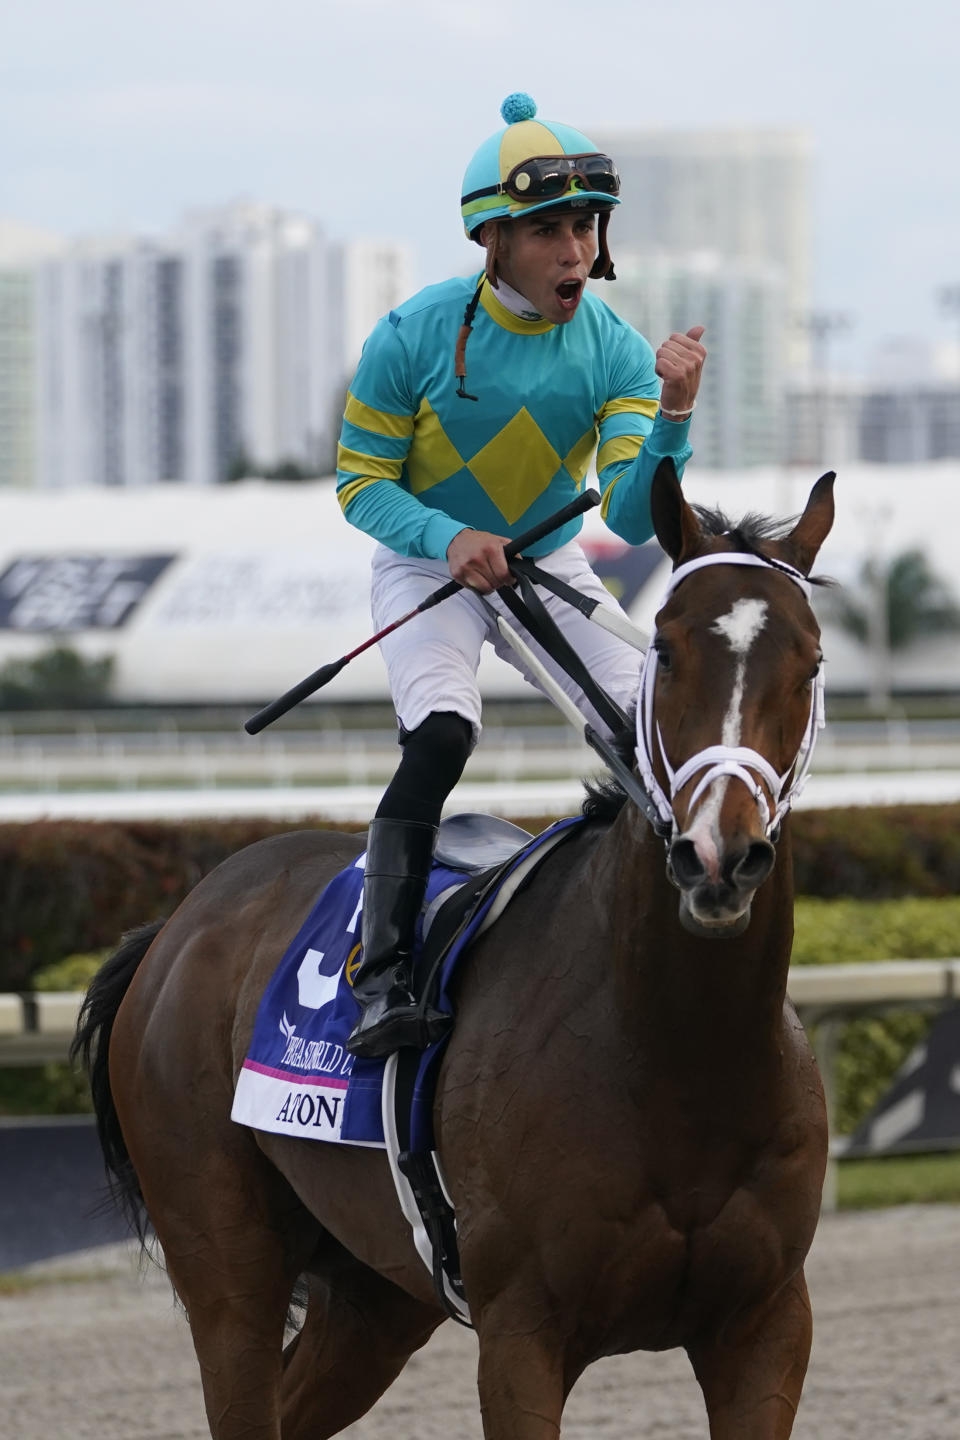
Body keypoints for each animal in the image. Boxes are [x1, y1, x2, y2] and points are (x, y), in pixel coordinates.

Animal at [77, 463, 834, 1440]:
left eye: (811, 664)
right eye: (664, 652)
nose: (717, 856)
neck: (676, 1058)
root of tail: (177, 925)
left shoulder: (766, 1324)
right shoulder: (522, 1334)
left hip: (375, 1295)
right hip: (226, 1264)